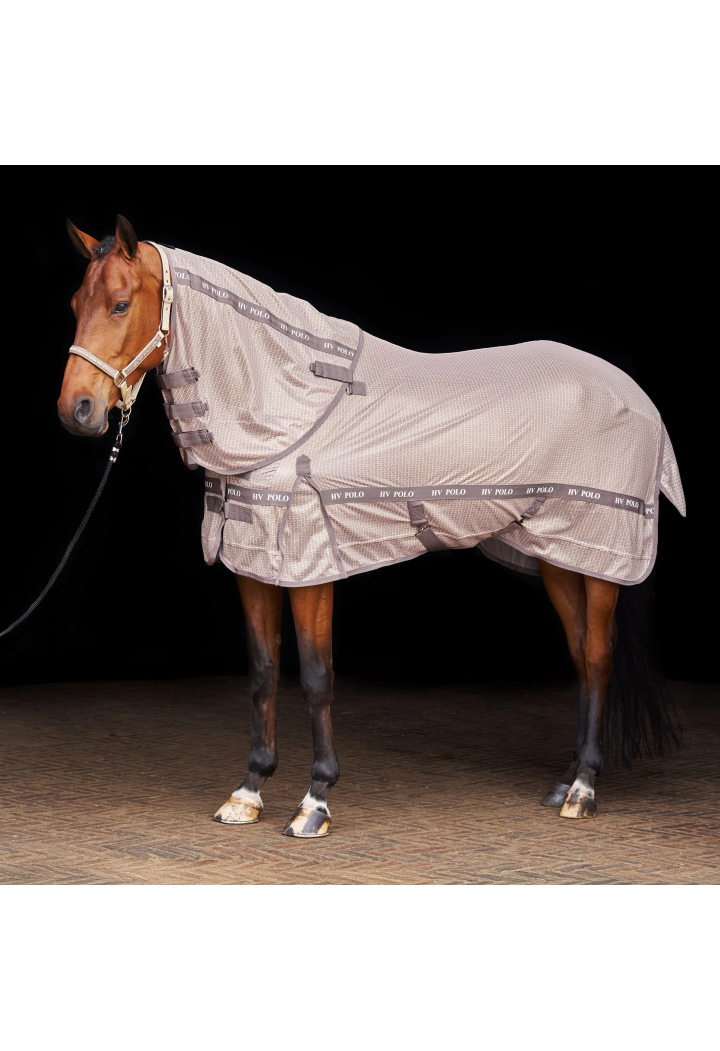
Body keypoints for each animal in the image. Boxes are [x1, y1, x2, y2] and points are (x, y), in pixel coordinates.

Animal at [57, 215, 683, 838]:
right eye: (74, 303)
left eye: (119, 304)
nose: (77, 411)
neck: (291, 409)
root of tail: (636, 395)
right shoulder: (254, 564)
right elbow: (262, 672)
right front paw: (249, 790)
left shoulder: (311, 567)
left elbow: (316, 677)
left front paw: (315, 801)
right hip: (558, 554)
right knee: (580, 655)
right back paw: (565, 781)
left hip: (600, 554)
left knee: (597, 657)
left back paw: (584, 788)